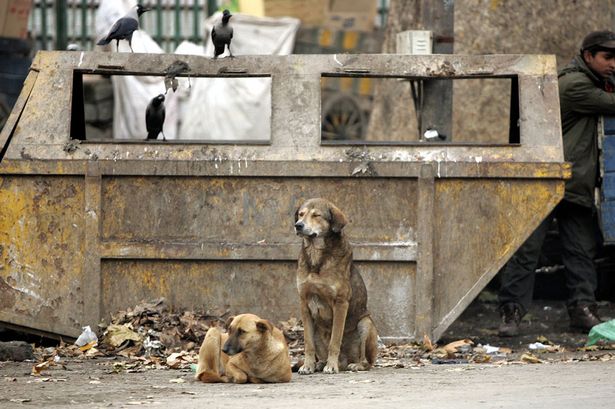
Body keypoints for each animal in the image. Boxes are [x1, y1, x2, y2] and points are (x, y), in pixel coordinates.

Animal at [294, 198, 378, 372]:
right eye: (300, 214)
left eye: (316, 215)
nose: (298, 225)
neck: (316, 257)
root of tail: (345, 361)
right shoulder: (304, 303)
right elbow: (308, 344)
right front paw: (308, 365)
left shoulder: (340, 303)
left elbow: (335, 341)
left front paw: (331, 367)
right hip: (317, 330)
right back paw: (320, 363)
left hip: (366, 324)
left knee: (367, 361)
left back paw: (353, 365)